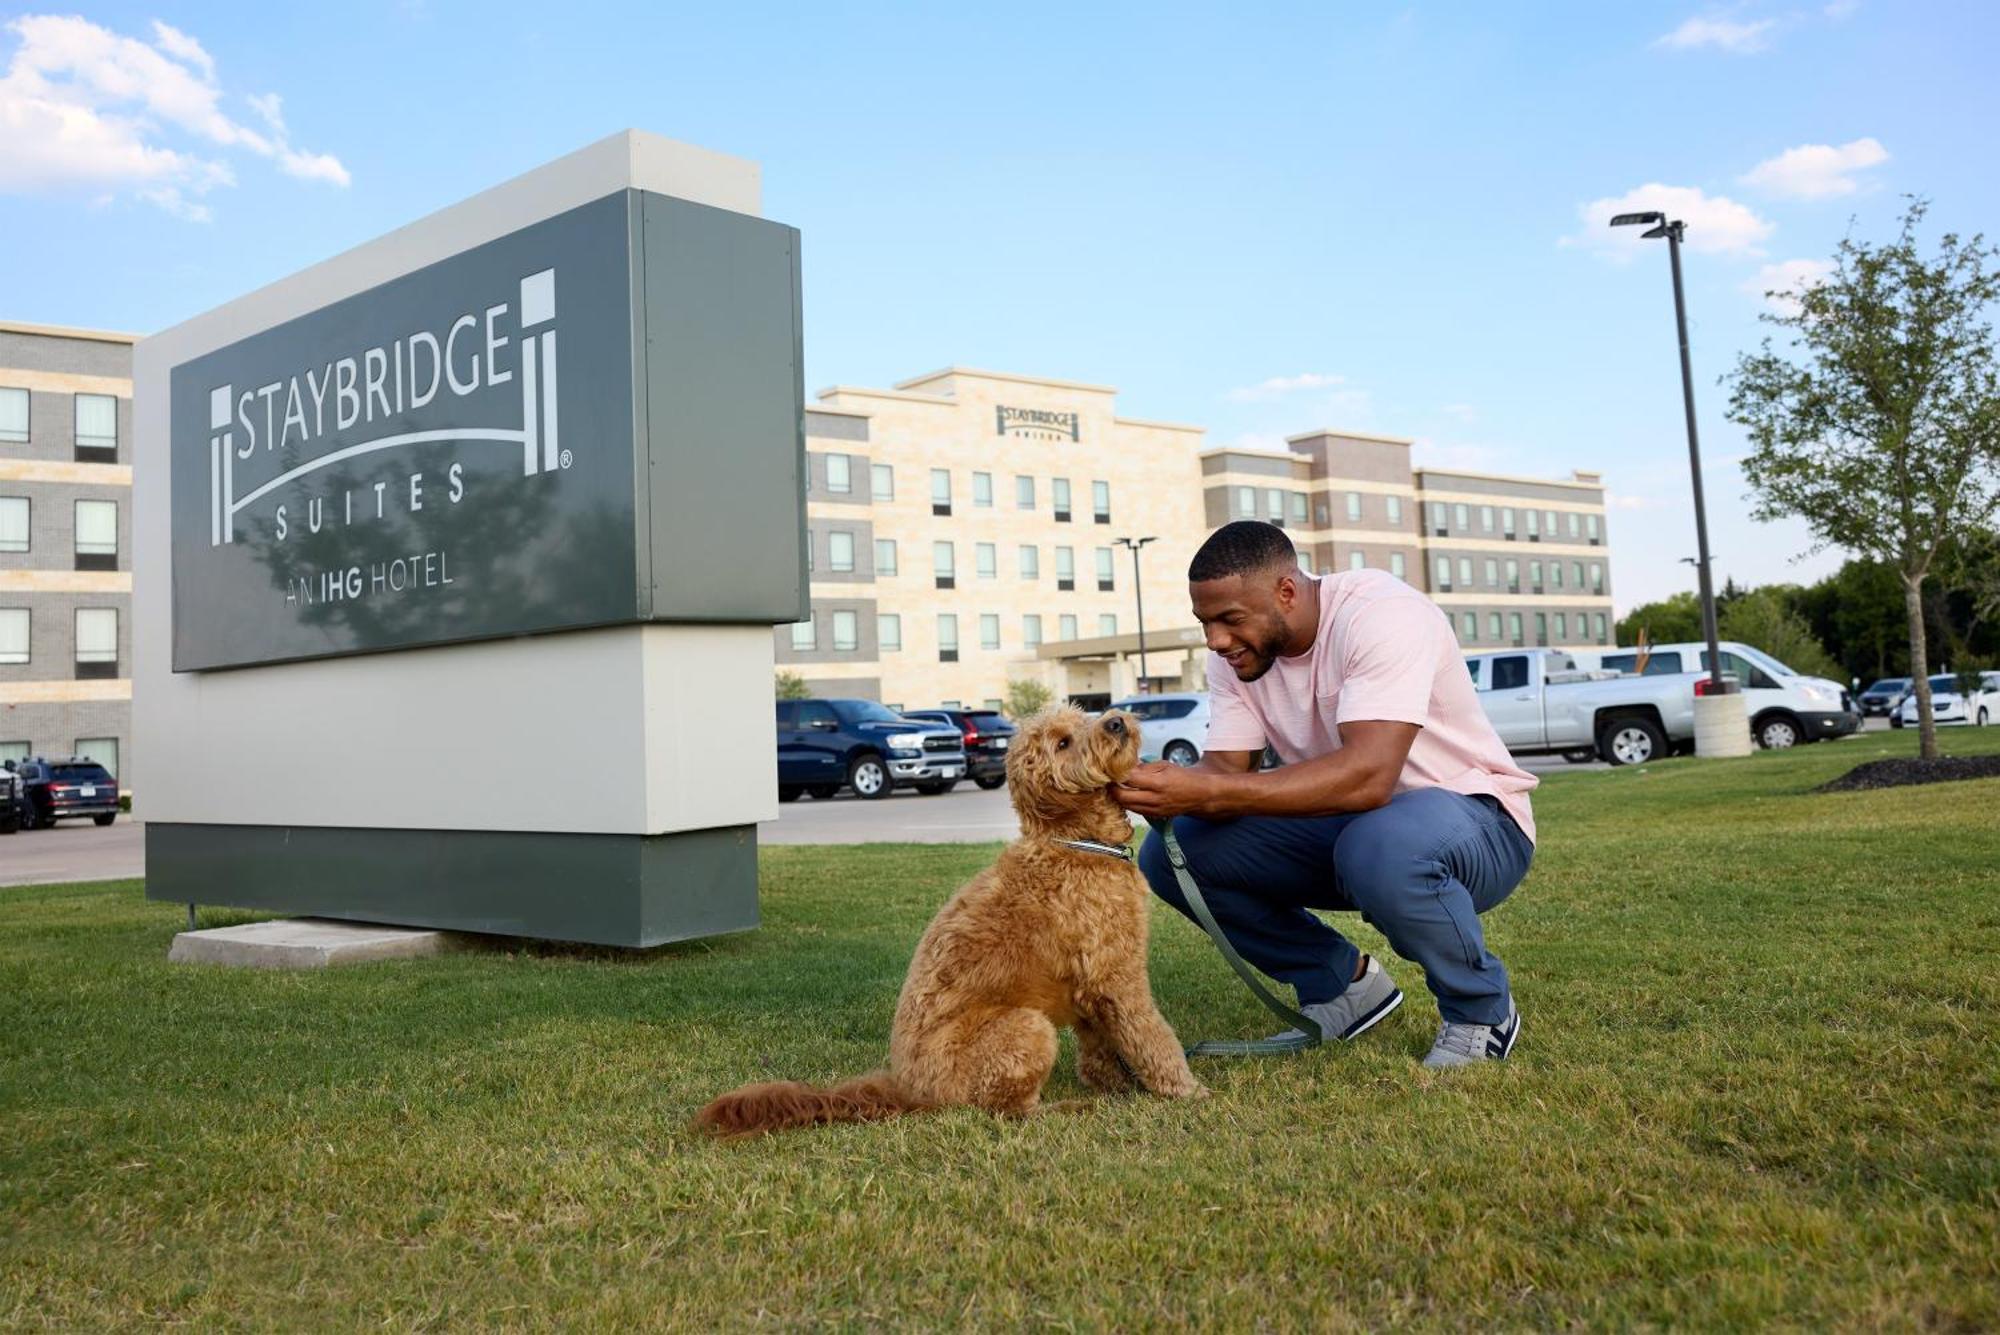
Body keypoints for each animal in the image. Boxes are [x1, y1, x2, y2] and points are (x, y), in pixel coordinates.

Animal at [700, 703, 1200, 1135]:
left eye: (1082, 718)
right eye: (1062, 743)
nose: (1116, 721)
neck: (1074, 843)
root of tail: (910, 1090)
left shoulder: (1090, 986)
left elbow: (1099, 1046)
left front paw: (1115, 1087)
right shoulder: (1117, 976)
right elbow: (1152, 1037)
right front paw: (1186, 1090)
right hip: (1026, 1028)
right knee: (1005, 1110)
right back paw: (1063, 1109)